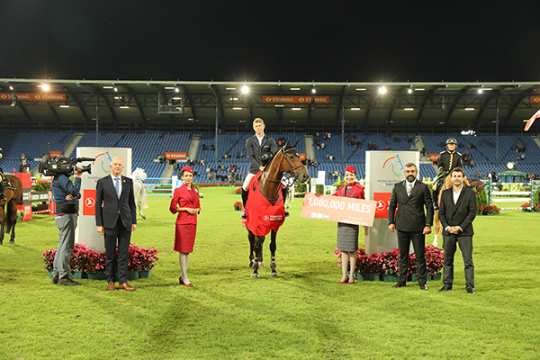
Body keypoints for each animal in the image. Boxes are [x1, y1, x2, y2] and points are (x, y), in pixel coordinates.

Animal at [245, 145, 308, 278]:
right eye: (291, 157)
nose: (305, 176)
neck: (268, 189)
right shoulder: (257, 222)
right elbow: (257, 243)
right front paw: (255, 270)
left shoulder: (275, 223)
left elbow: (272, 245)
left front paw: (273, 269)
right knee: (252, 239)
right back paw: (252, 260)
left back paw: (259, 260)